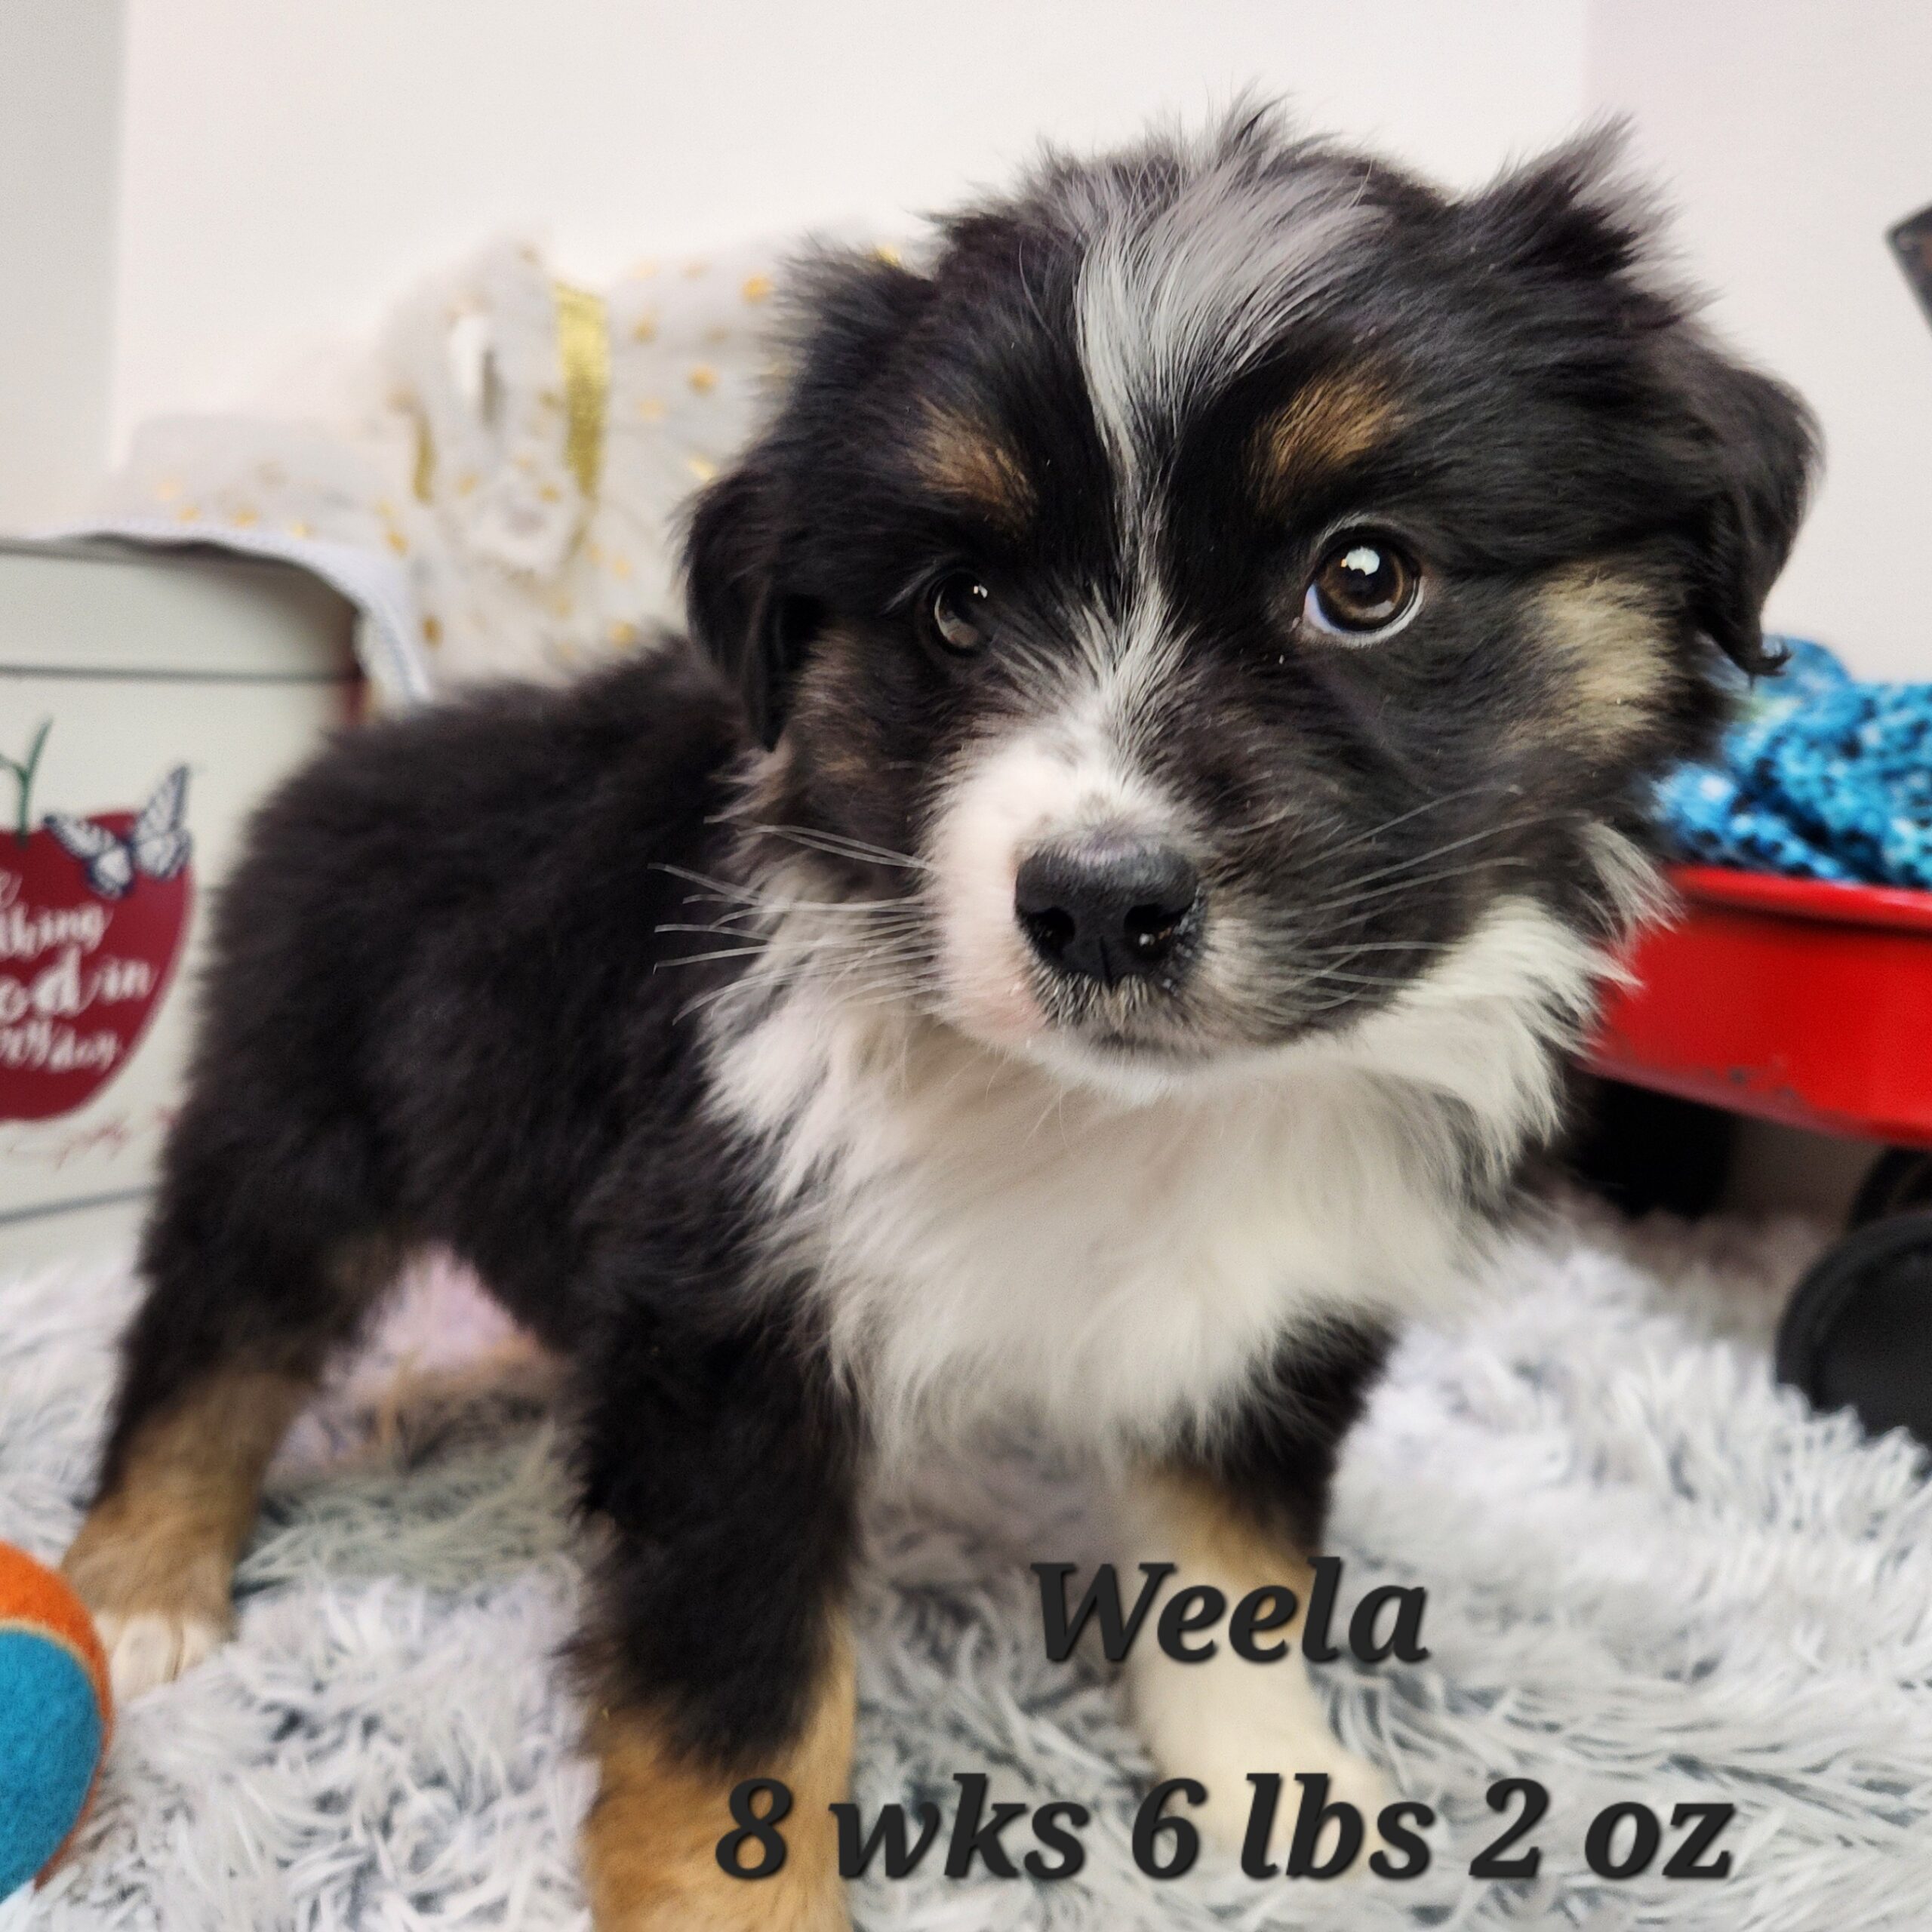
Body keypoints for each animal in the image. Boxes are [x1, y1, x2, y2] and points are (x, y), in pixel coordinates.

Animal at [60, 112, 1808, 1924]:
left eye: (1366, 576)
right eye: (957, 603)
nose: (1098, 903)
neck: (1111, 1114)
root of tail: (368, 746)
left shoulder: (1282, 1302)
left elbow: (1235, 1569)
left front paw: (1278, 1802)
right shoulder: (735, 1317)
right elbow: (734, 1696)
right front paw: (729, 1907)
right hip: (295, 1105)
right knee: (214, 1332)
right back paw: (140, 1585)